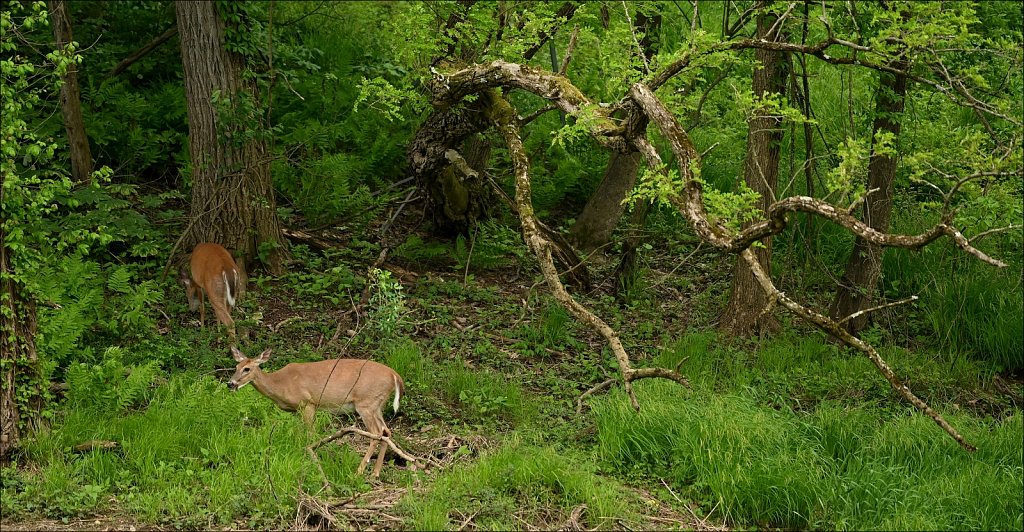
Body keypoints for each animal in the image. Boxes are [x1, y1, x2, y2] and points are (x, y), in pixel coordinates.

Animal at [228, 345, 403, 478]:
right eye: (236, 367)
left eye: (247, 369)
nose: (230, 383)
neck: (280, 384)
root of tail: (395, 375)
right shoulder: (298, 410)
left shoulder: (308, 403)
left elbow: (310, 434)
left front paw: (313, 463)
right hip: (376, 405)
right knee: (386, 431)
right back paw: (375, 473)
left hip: (366, 402)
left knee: (376, 433)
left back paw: (358, 472)